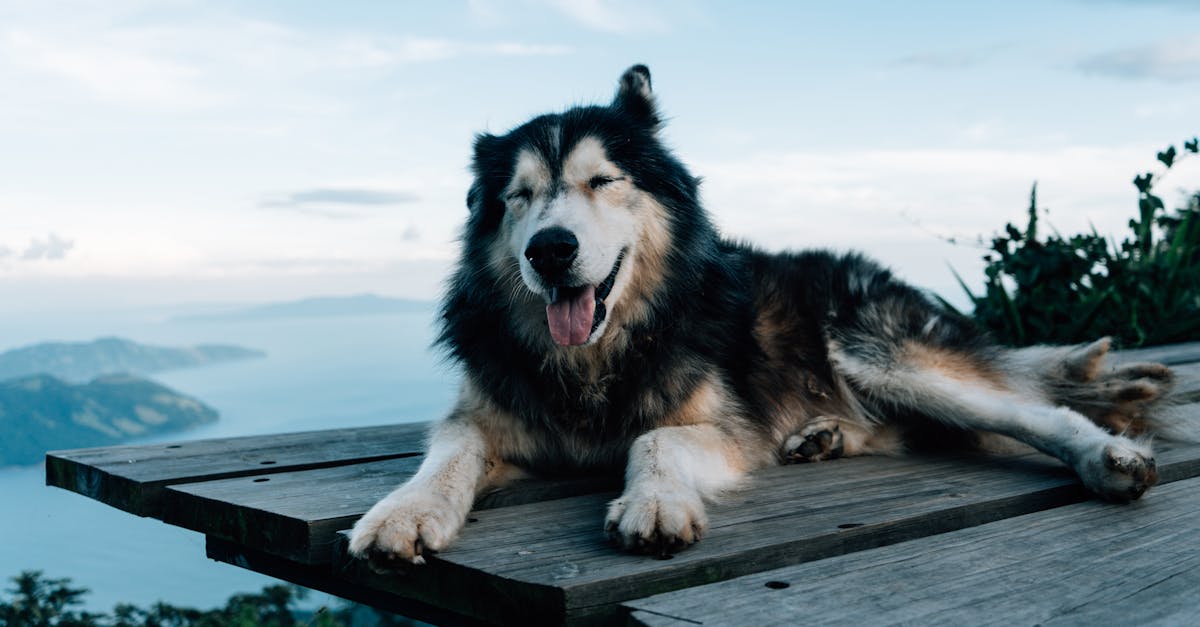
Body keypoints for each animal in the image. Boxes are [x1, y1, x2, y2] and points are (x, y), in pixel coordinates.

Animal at [349, 65, 1181, 564]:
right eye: (518, 196)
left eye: (603, 180)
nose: (550, 250)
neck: (599, 355)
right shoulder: (482, 411)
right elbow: (449, 452)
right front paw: (404, 509)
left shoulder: (725, 425)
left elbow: (654, 437)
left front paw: (654, 498)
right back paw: (824, 434)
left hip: (875, 351)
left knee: (1033, 409)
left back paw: (1106, 455)